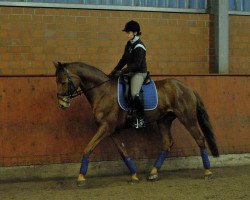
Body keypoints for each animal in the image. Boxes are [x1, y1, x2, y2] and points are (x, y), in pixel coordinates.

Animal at [54, 61, 219, 188]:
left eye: (64, 82)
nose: (62, 104)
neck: (102, 91)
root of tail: (187, 87)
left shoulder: (105, 127)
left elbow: (88, 148)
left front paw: (81, 178)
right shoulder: (113, 130)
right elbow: (123, 152)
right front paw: (134, 175)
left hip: (188, 119)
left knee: (200, 139)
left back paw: (208, 172)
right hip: (163, 121)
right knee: (167, 143)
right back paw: (153, 173)